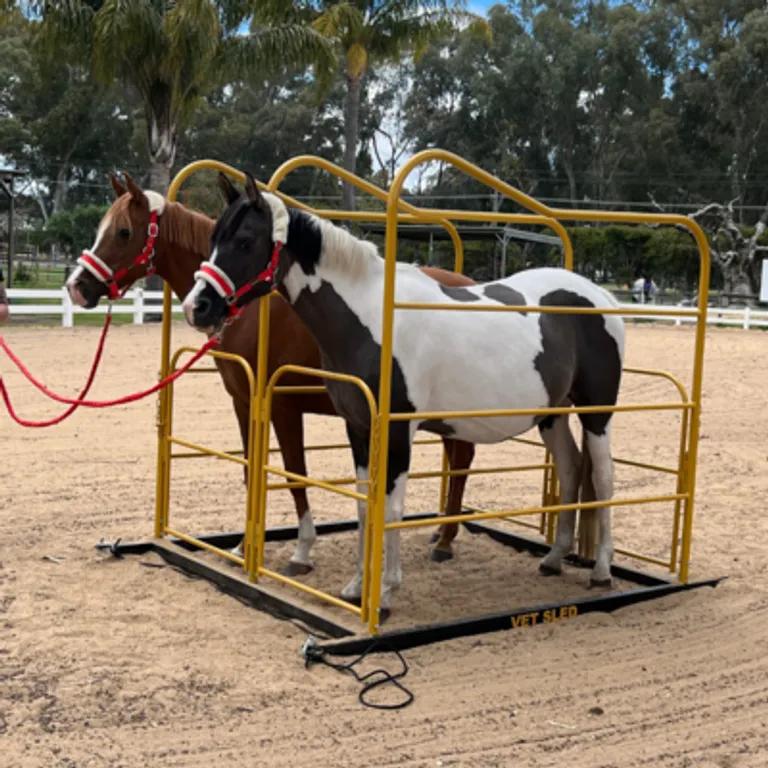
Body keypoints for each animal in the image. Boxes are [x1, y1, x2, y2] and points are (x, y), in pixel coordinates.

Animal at [66, 172, 474, 568]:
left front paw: (301, 551)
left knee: (462, 460)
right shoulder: (244, 401)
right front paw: (242, 548)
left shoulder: (282, 405)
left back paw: (445, 541)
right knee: (458, 459)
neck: (249, 310)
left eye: (123, 232)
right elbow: (251, 470)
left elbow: (294, 473)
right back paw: (442, 532)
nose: (76, 287)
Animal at [184, 172, 624, 608]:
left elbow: (391, 509)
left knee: (603, 477)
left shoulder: (398, 431)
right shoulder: (358, 427)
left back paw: (601, 571)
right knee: (570, 468)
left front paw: (385, 592)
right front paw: (357, 587)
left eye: (245, 241)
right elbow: (365, 505)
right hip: (552, 413)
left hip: (597, 413)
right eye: (214, 237)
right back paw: (553, 558)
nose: (196, 307)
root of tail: (599, 294)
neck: (370, 320)